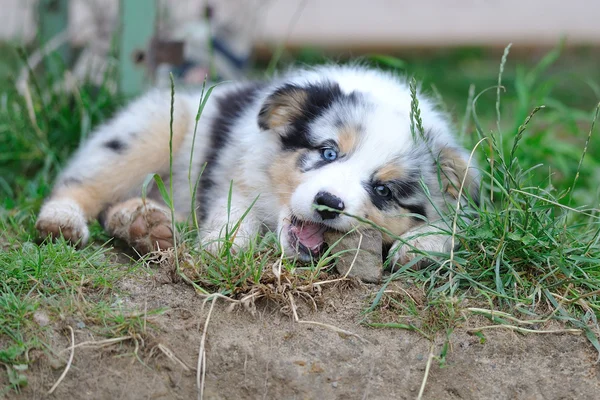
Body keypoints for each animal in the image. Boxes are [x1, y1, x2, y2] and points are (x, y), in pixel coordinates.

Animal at [36, 64, 478, 268]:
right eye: (328, 152)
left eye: (383, 190)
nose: (328, 203)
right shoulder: (240, 172)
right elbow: (236, 210)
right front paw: (225, 245)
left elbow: (450, 226)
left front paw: (421, 245)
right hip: (146, 133)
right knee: (83, 182)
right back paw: (62, 221)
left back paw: (145, 224)